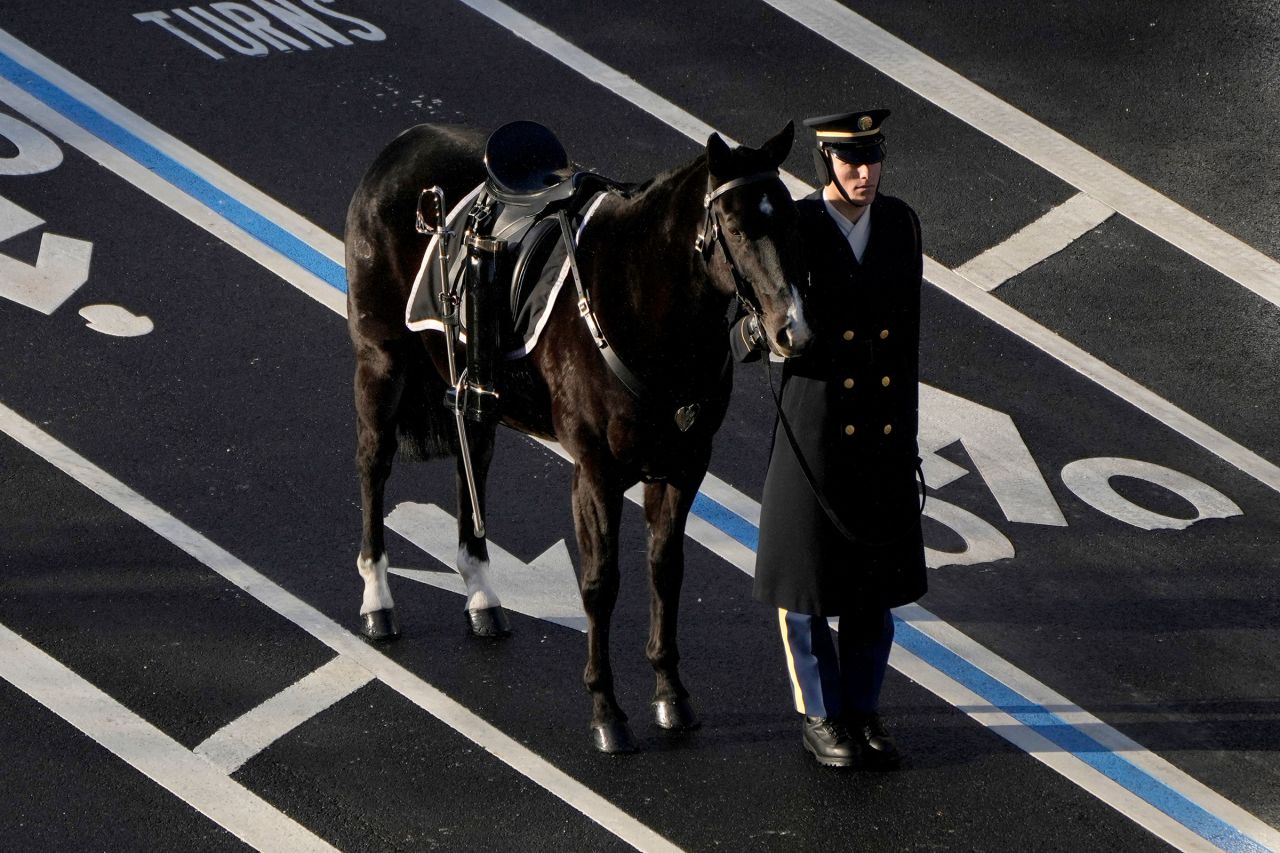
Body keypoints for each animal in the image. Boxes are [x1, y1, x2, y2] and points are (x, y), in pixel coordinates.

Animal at [343, 121, 808, 753]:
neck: (643, 306)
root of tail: (403, 142)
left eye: (790, 219)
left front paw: (671, 696)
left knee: (472, 463)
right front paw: (607, 712)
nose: (791, 330)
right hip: (381, 361)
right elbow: (599, 584)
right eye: (735, 227)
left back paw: (482, 594)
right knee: (374, 464)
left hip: (472, 390)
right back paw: (377, 599)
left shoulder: (684, 465)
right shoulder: (596, 473)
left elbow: (666, 571)